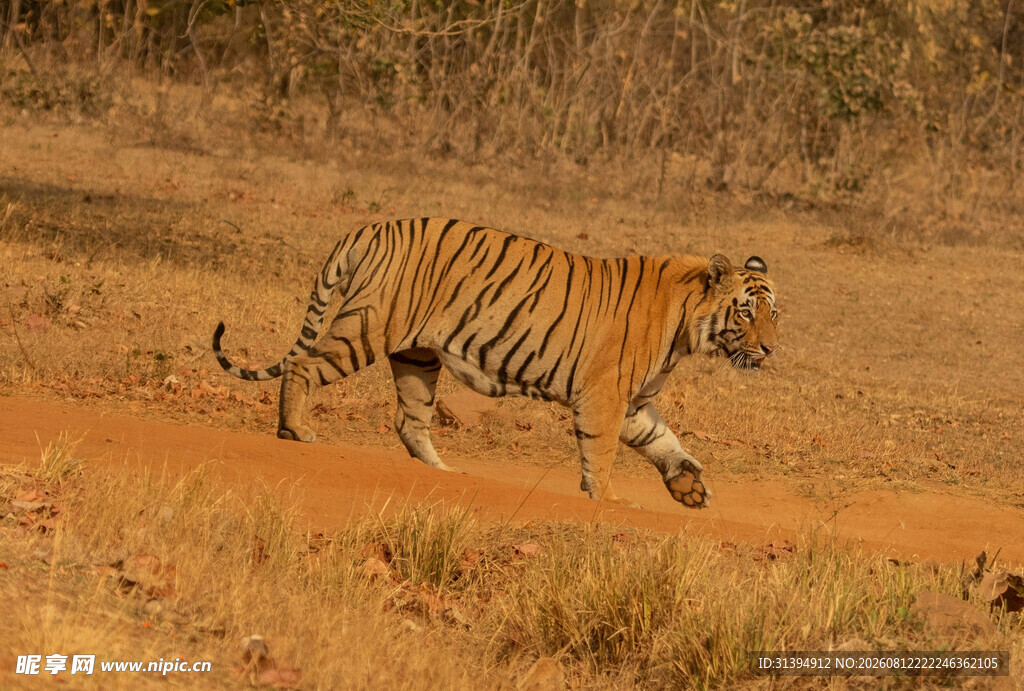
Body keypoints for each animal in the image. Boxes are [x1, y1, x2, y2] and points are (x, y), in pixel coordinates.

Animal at [212, 218, 779, 509]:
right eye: (747, 312)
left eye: (775, 313)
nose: (772, 349)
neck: (686, 327)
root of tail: (372, 226)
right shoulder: (605, 395)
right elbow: (602, 452)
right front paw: (608, 497)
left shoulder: (634, 401)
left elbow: (663, 440)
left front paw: (689, 486)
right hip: (369, 328)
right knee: (303, 365)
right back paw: (295, 430)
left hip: (417, 357)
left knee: (408, 421)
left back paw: (445, 473)